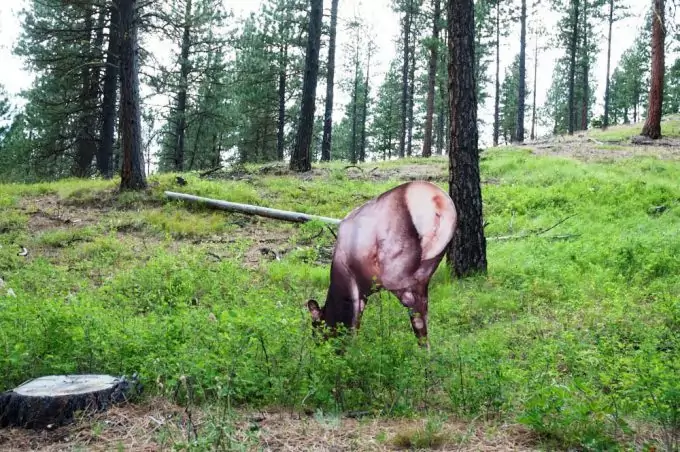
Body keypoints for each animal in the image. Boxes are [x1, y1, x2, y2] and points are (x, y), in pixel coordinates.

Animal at [306, 181, 456, 350]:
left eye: (316, 330)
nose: (321, 349)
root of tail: (438, 202)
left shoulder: (353, 283)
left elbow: (353, 324)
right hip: (429, 266)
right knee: (424, 311)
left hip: (396, 274)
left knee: (415, 311)